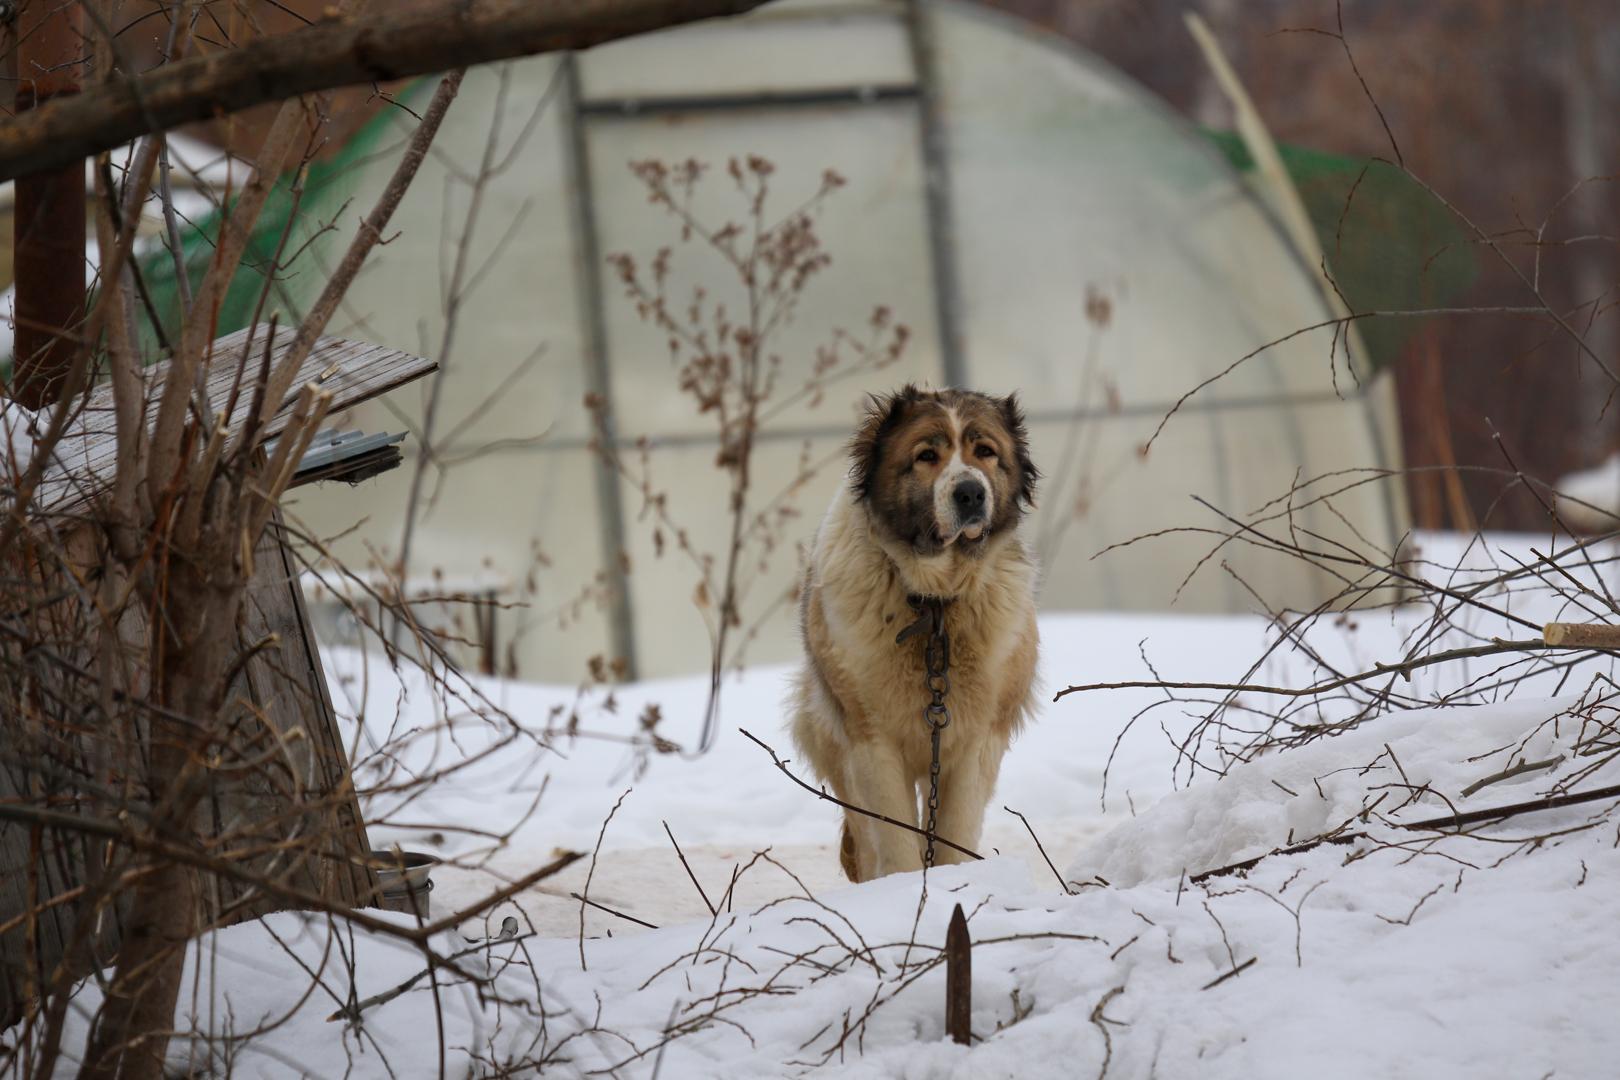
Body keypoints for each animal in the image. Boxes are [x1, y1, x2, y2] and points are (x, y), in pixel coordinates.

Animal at [790, 383, 1043, 880]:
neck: (935, 602)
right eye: (927, 456)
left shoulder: (976, 739)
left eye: (986, 452)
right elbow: (893, 836)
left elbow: (955, 831)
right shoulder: (871, 740)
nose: (970, 493)